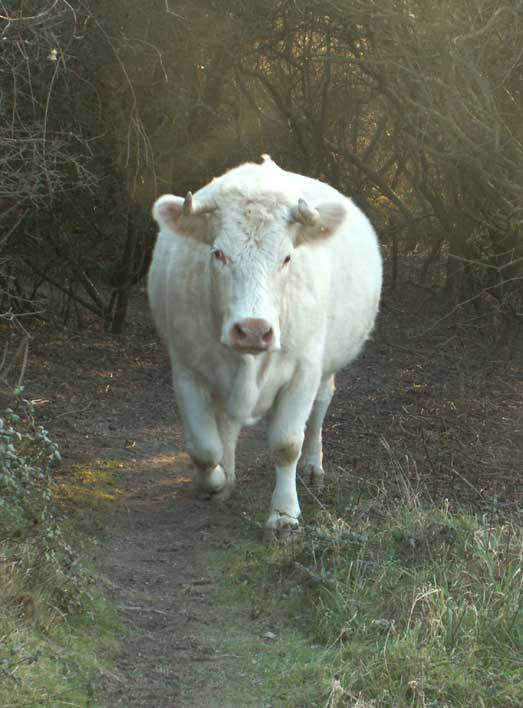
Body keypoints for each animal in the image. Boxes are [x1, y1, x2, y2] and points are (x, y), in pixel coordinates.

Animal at [149, 156, 382, 532]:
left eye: (286, 258)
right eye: (218, 253)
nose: (253, 330)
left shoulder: (303, 371)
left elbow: (286, 444)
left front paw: (284, 514)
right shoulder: (187, 369)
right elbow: (204, 448)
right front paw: (213, 481)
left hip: (326, 367)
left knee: (321, 405)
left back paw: (313, 466)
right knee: (226, 425)